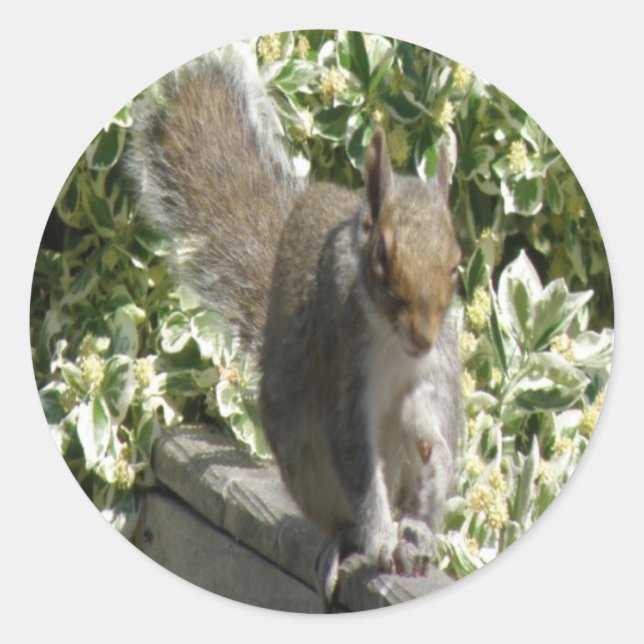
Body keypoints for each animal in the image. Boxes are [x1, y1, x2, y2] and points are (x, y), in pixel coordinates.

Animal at [129, 45, 464, 604]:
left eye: (458, 264)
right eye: (382, 256)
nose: (421, 335)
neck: (395, 344)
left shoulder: (439, 366)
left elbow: (438, 435)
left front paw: (423, 510)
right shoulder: (341, 367)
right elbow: (356, 460)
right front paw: (381, 542)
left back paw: (413, 527)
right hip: (303, 457)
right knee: (340, 515)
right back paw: (347, 543)